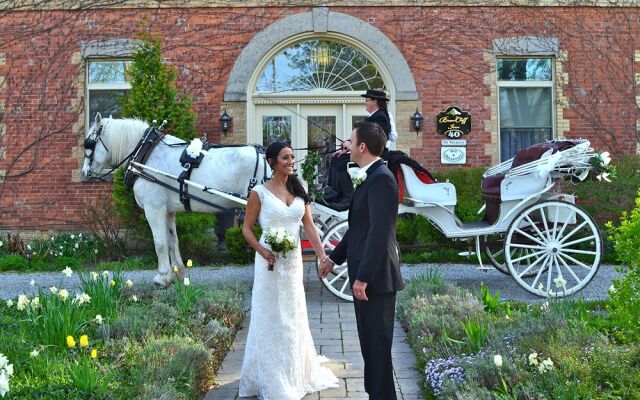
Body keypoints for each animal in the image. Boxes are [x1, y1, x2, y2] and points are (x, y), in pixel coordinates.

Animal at [82, 114, 270, 286]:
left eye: (88, 144)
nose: (84, 173)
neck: (146, 154)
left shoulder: (154, 209)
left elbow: (160, 243)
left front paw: (162, 277)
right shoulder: (168, 211)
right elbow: (172, 241)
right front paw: (178, 274)